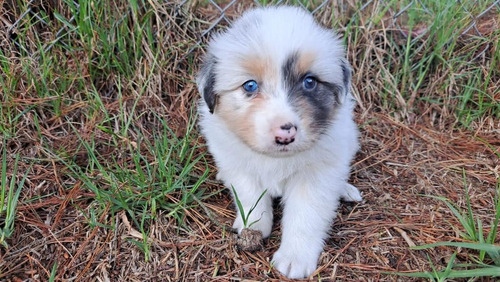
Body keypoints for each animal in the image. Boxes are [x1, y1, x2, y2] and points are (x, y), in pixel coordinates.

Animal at [196, 5, 364, 278]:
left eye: (309, 82)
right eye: (250, 85)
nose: (285, 134)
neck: (276, 159)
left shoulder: (316, 177)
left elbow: (305, 217)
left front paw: (295, 258)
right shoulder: (238, 163)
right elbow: (251, 195)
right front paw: (253, 226)